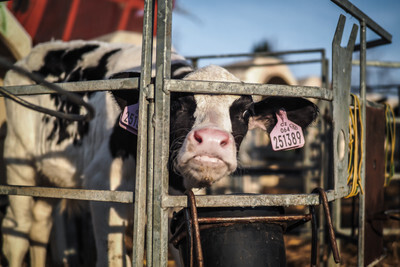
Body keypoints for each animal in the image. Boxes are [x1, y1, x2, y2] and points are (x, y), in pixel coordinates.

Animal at [0, 40, 318, 267]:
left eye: (246, 112)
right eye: (177, 104)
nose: (211, 140)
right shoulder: (104, 191)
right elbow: (114, 259)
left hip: (49, 179)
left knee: (39, 227)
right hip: (18, 162)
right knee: (17, 233)